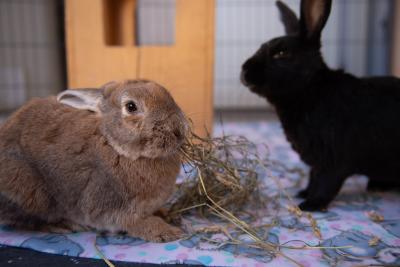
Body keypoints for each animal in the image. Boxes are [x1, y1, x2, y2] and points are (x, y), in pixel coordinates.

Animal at [0, 79, 189, 243]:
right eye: (131, 106)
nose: (179, 130)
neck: (115, 146)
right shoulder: (113, 206)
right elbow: (137, 223)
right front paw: (168, 233)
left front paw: (169, 214)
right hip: (32, 194)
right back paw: (63, 225)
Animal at [241, 0, 400, 211]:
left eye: (281, 53)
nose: (244, 71)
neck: (309, 89)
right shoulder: (316, 163)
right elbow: (312, 178)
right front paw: (303, 193)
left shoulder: (333, 160)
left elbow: (325, 184)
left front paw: (309, 205)